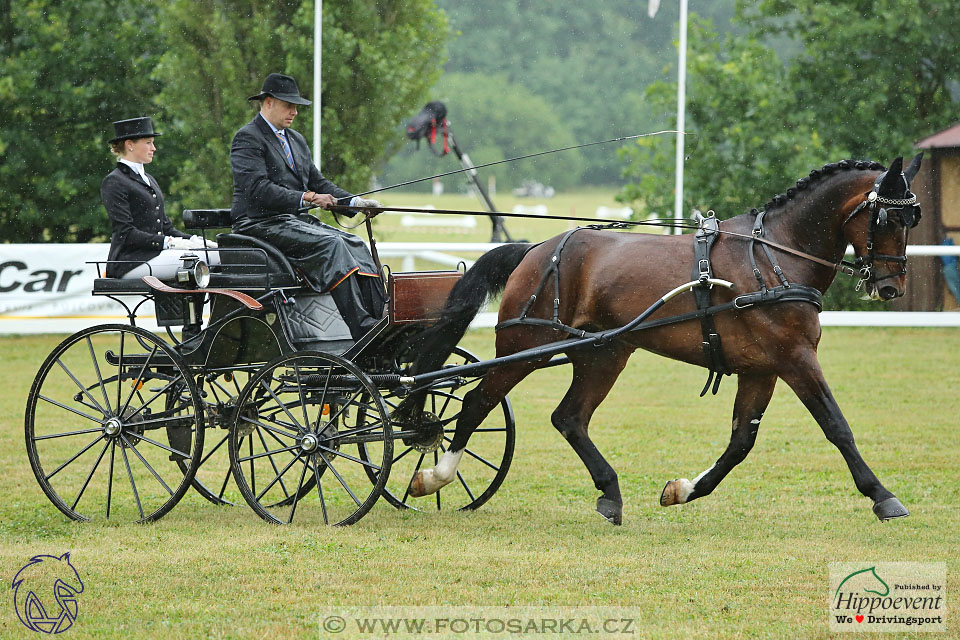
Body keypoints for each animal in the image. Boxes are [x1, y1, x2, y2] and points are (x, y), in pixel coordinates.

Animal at [402, 155, 920, 524]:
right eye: (889, 219)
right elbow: (836, 425)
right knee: (476, 403)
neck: (772, 258)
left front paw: (684, 490)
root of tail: (536, 249)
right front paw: (883, 496)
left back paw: (610, 495)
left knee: (569, 418)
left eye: (911, 219)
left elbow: (740, 442)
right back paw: (435, 477)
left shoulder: (761, 369)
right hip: (524, 348)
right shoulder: (795, 359)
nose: (892, 287)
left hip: (604, 354)